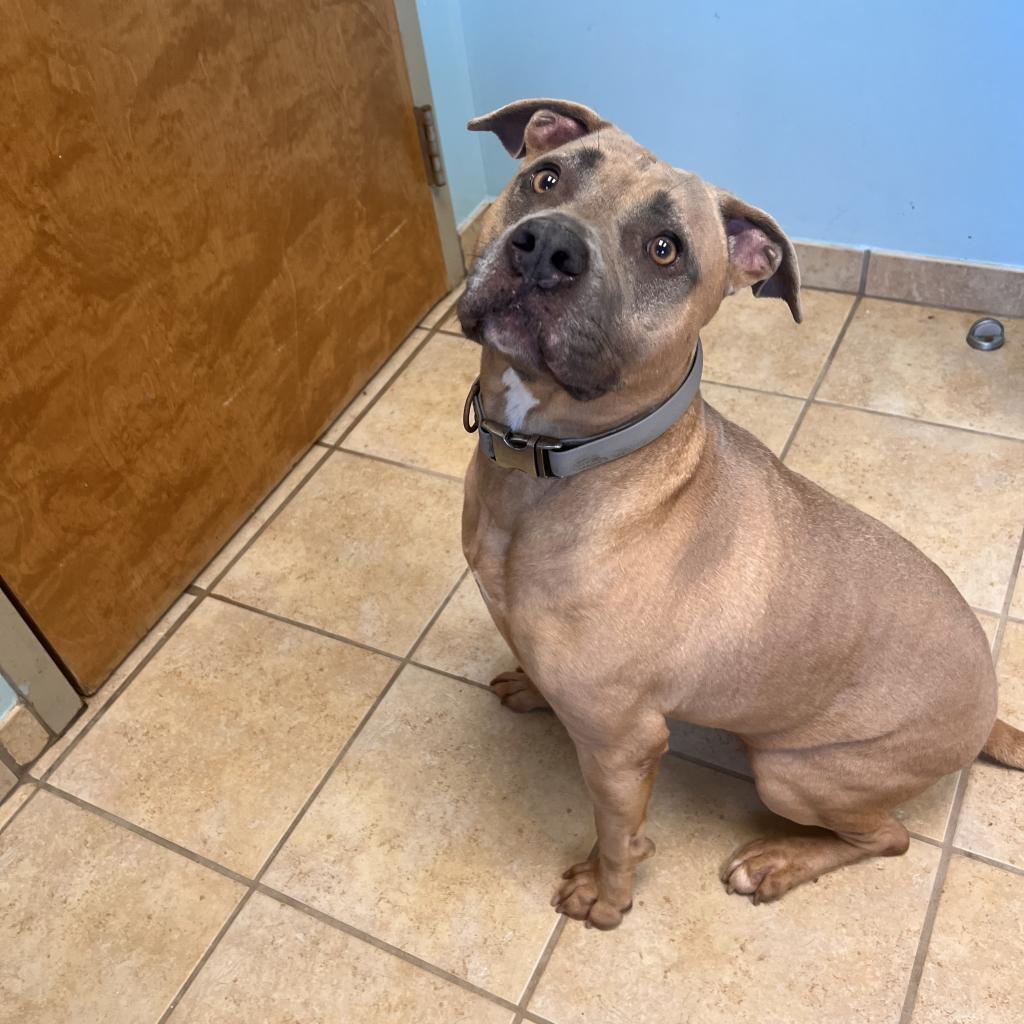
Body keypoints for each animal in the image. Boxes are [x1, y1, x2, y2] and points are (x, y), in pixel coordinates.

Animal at [458, 99, 1024, 933]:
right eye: (546, 178)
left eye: (665, 250)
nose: (548, 249)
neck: (555, 469)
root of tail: (988, 716)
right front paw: (532, 685)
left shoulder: (625, 746)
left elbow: (618, 834)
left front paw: (606, 897)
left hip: (794, 773)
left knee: (887, 839)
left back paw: (778, 862)